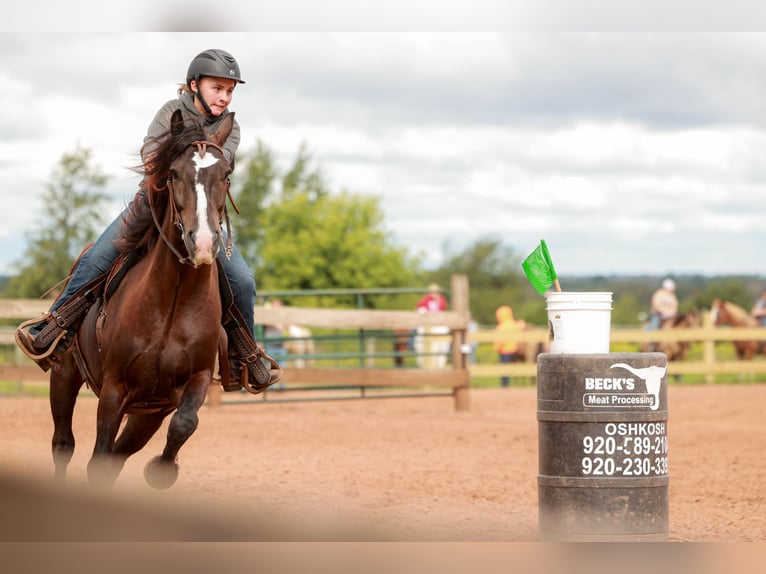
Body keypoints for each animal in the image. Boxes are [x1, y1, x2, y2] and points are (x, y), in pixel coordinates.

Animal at [47, 109, 235, 489]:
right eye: (173, 173)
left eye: (226, 175)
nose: (202, 242)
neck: (172, 303)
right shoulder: (113, 389)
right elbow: (98, 458)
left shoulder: (193, 381)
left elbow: (184, 424)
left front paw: (162, 469)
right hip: (64, 374)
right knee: (63, 443)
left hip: (147, 413)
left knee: (119, 453)